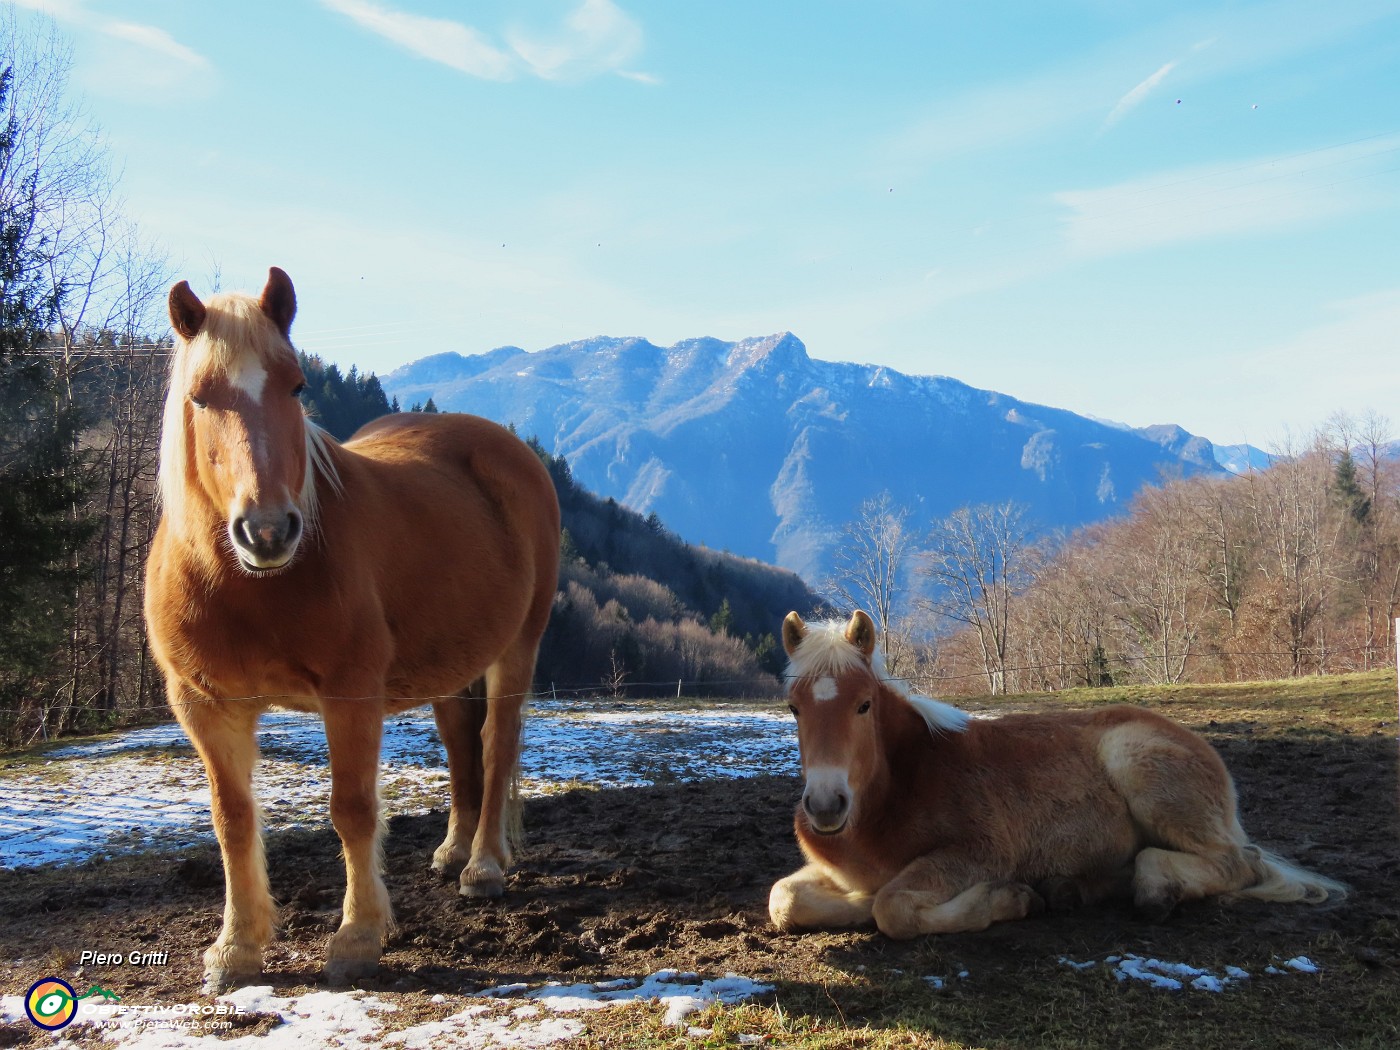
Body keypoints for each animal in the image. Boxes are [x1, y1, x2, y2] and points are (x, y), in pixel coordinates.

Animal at [142, 267, 557, 991]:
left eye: (296, 385)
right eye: (199, 396)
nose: (268, 531)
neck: (250, 587)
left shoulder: (351, 693)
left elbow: (353, 809)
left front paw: (358, 937)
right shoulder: (204, 705)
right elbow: (233, 819)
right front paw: (235, 947)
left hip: (517, 648)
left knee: (496, 745)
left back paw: (482, 866)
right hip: (449, 665)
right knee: (461, 747)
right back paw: (453, 851)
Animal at [767, 607, 1344, 935]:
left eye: (863, 705)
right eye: (793, 708)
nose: (825, 806)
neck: (897, 789)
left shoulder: (979, 852)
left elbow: (892, 908)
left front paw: (1008, 900)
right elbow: (784, 899)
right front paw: (854, 902)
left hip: (1140, 765)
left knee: (1238, 862)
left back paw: (1151, 889)